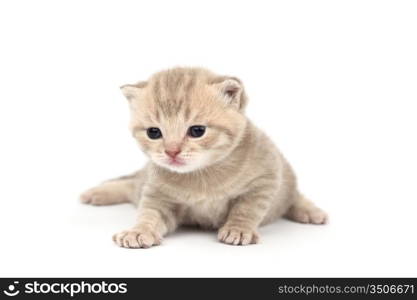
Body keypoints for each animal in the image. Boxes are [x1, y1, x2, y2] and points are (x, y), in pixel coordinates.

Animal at [81, 67, 326, 247]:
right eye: (154, 132)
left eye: (197, 131)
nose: (171, 151)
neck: (201, 175)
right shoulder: (158, 195)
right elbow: (149, 214)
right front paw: (139, 231)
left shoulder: (267, 178)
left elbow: (246, 208)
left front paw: (238, 229)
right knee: (130, 185)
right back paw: (96, 194)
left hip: (287, 180)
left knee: (294, 196)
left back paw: (311, 211)